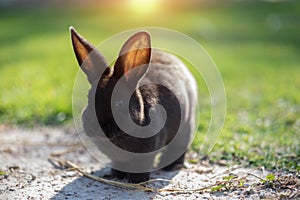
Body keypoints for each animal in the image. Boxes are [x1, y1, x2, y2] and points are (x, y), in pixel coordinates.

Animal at [69, 27, 198, 183]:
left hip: (185, 126)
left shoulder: (146, 154)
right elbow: (119, 163)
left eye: (119, 104)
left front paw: (137, 180)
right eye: (88, 100)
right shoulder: (117, 159)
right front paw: (116, 175)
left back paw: (169, 166)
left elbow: (141, 164)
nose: (95, 127)